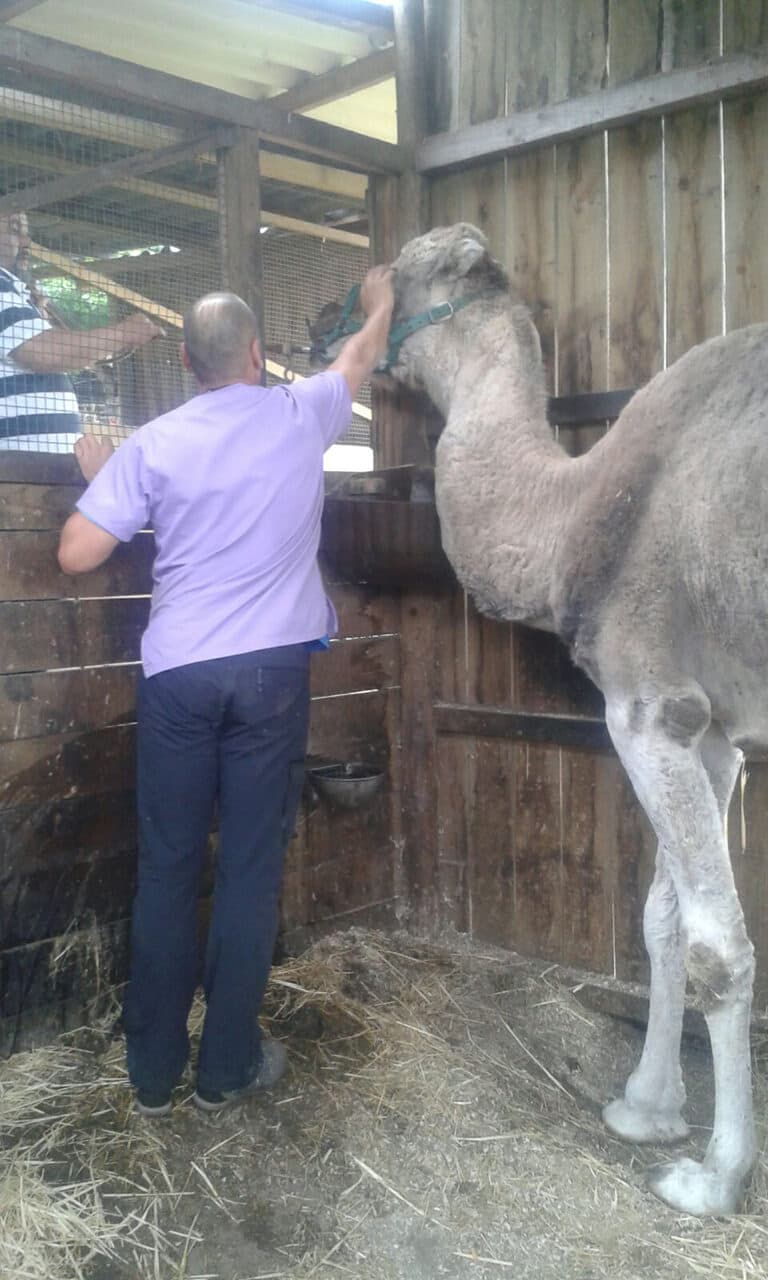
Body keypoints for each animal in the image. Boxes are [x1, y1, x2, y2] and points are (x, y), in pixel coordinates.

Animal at [314, 225, 762, 1213]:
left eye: (391, 272)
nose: (323, 317)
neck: (579, 510)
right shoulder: (712, 730)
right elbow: (661, 916)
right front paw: (645, 1106)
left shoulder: (650, 705)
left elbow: (716, 944)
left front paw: (713, 1176)